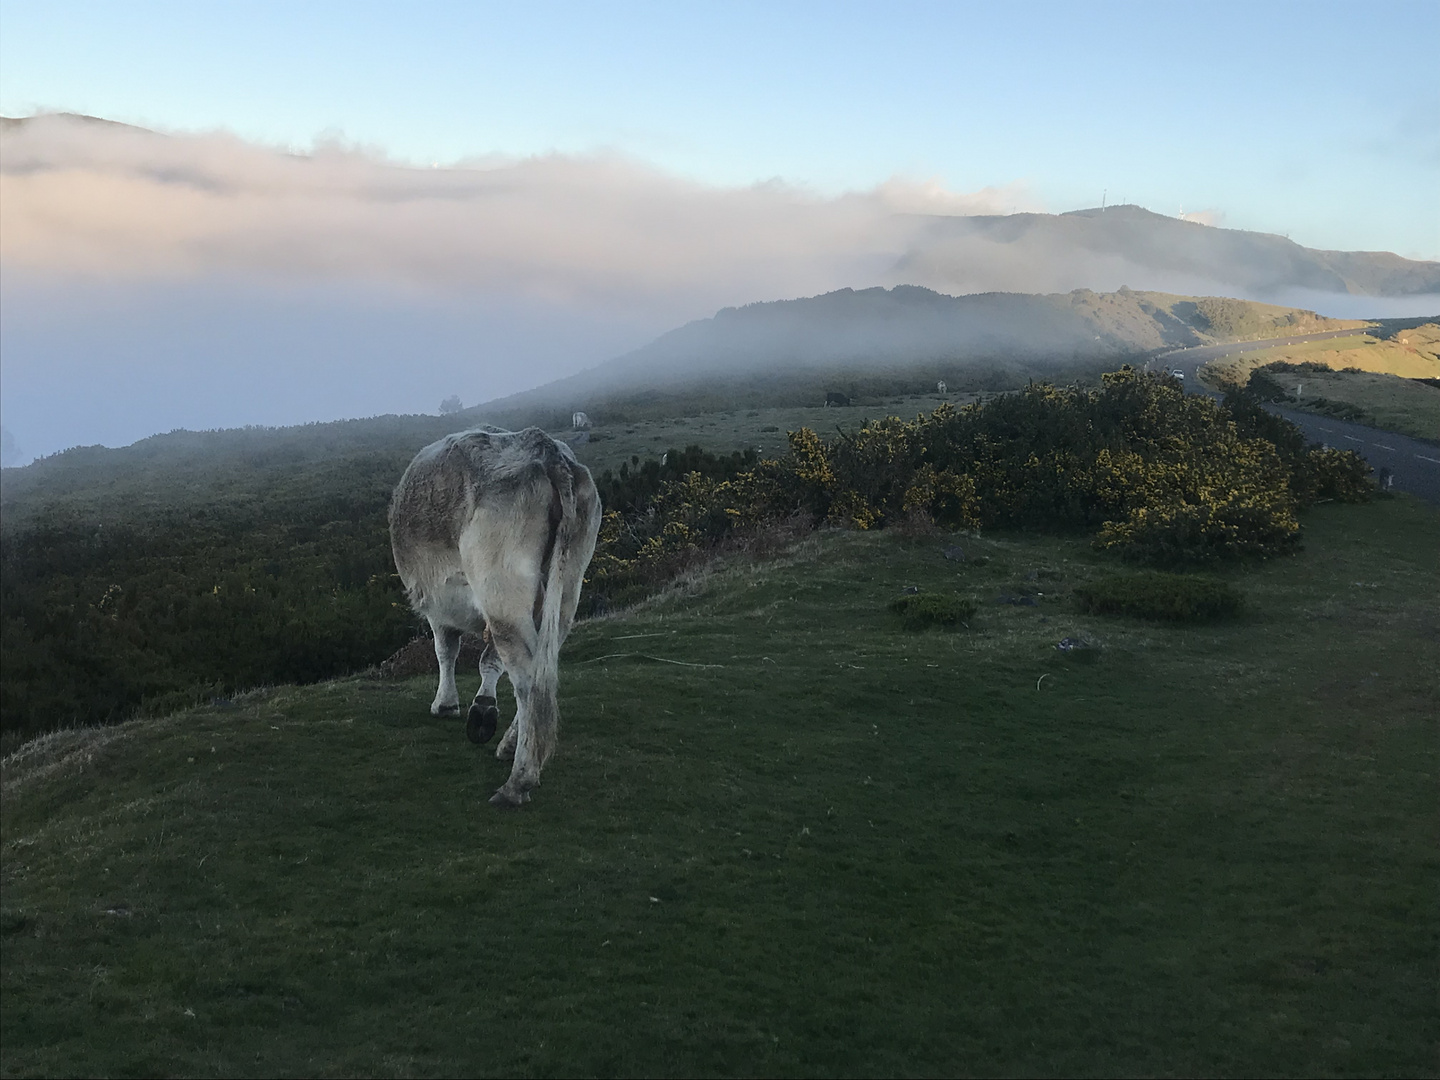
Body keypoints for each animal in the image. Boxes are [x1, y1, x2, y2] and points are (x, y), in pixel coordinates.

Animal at [388, 426, 601, 806]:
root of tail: (544, 447)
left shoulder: (438, 605)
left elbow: (445, 650)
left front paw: (446, 704)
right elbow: (490, 661)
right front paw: (482, 708)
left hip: (501, 586)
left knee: (528, 677)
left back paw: (519, 781)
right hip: (568, 581)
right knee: (542, 664)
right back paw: (512, 745)